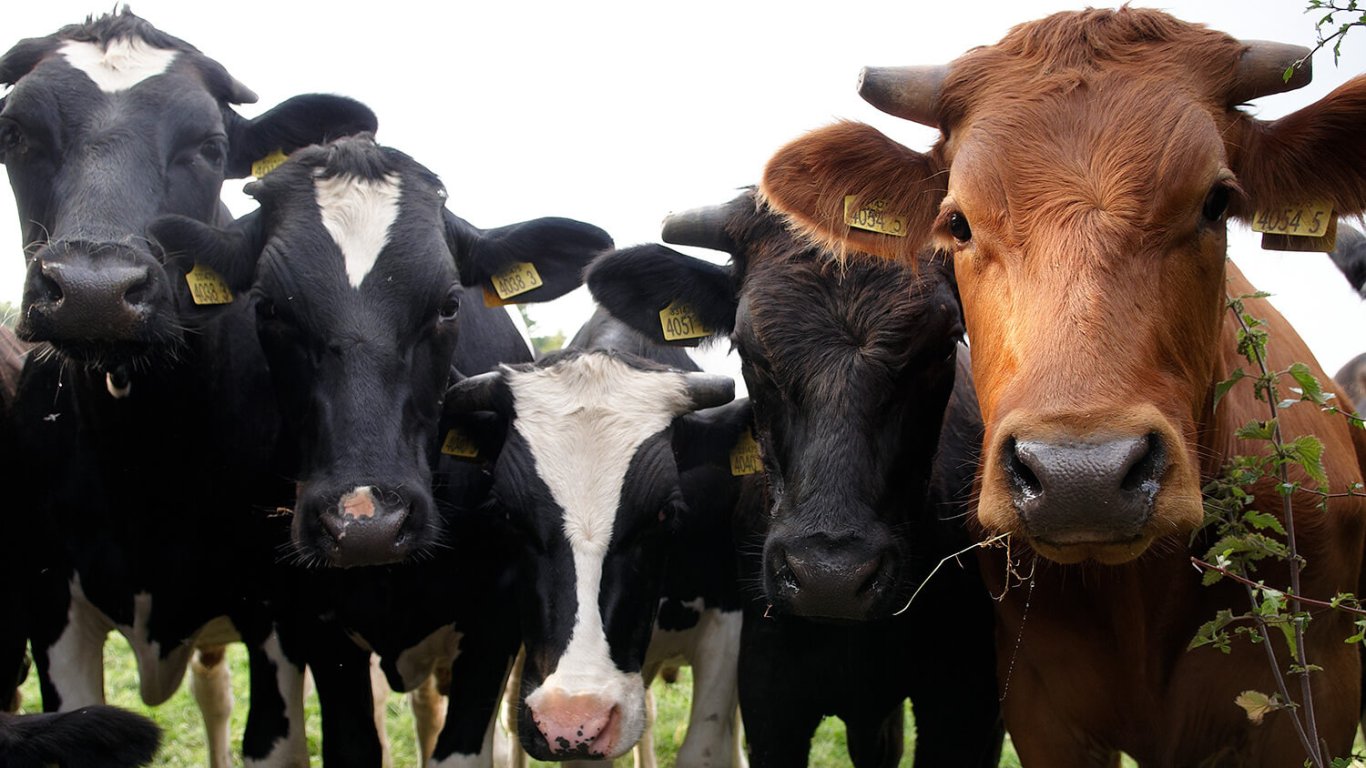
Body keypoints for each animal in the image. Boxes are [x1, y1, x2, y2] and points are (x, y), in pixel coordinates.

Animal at [759, 7, 1366, 765]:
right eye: (957, 221)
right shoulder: (1039, 709)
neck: (1140, 593)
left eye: (1215, 203)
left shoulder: (1315, 701)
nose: (1084, 477)